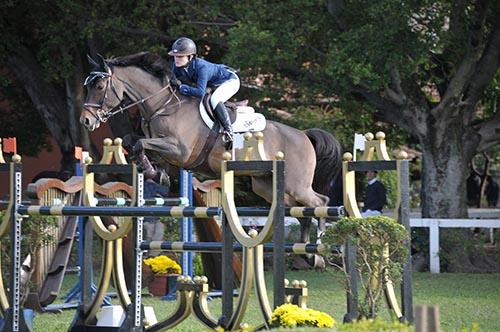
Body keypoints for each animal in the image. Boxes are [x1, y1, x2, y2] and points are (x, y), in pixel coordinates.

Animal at [81, 52, 344, 264]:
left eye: (100, 86)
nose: (86, 120)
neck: (162, 105)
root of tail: (304, 135)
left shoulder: (179, 150)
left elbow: (139, 143)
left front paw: (154, 171)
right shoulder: (162, 146)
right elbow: (130, 141)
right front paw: (155, 172)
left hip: (295, 185)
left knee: (319, 202)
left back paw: (318, 251)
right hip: (268, 187)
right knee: (301, 211)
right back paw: (307, 253)